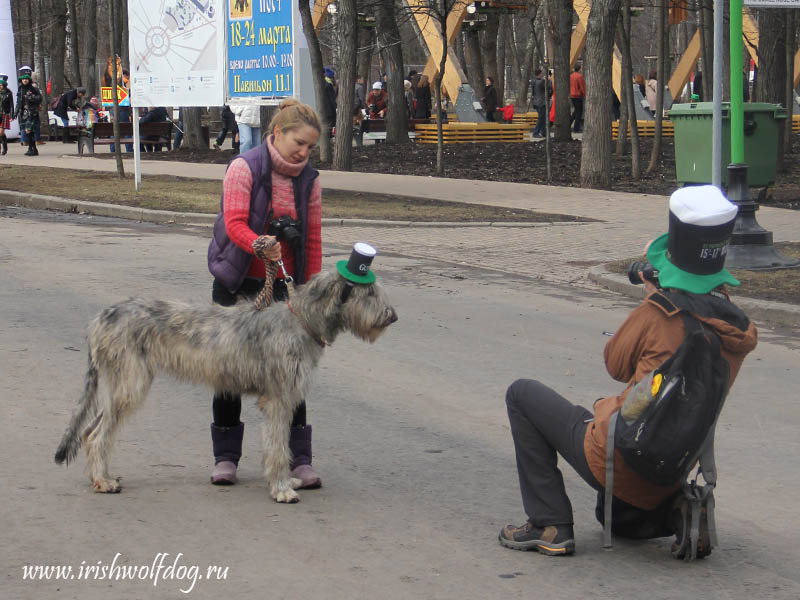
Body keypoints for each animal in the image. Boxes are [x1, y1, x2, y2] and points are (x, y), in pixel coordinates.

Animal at [53, 270, 396, 502]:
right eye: (369, 293)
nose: (392, 317)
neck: (301, 321)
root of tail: (99, 319)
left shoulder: (287, 397)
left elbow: (283, 442)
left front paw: (289, 482)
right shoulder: (279, 398)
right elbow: (277, 445)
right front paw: (282, 489)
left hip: (118, 385)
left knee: (89, 430)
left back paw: (100, 476)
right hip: (129, 383)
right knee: (97, 434)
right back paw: (104, 482)